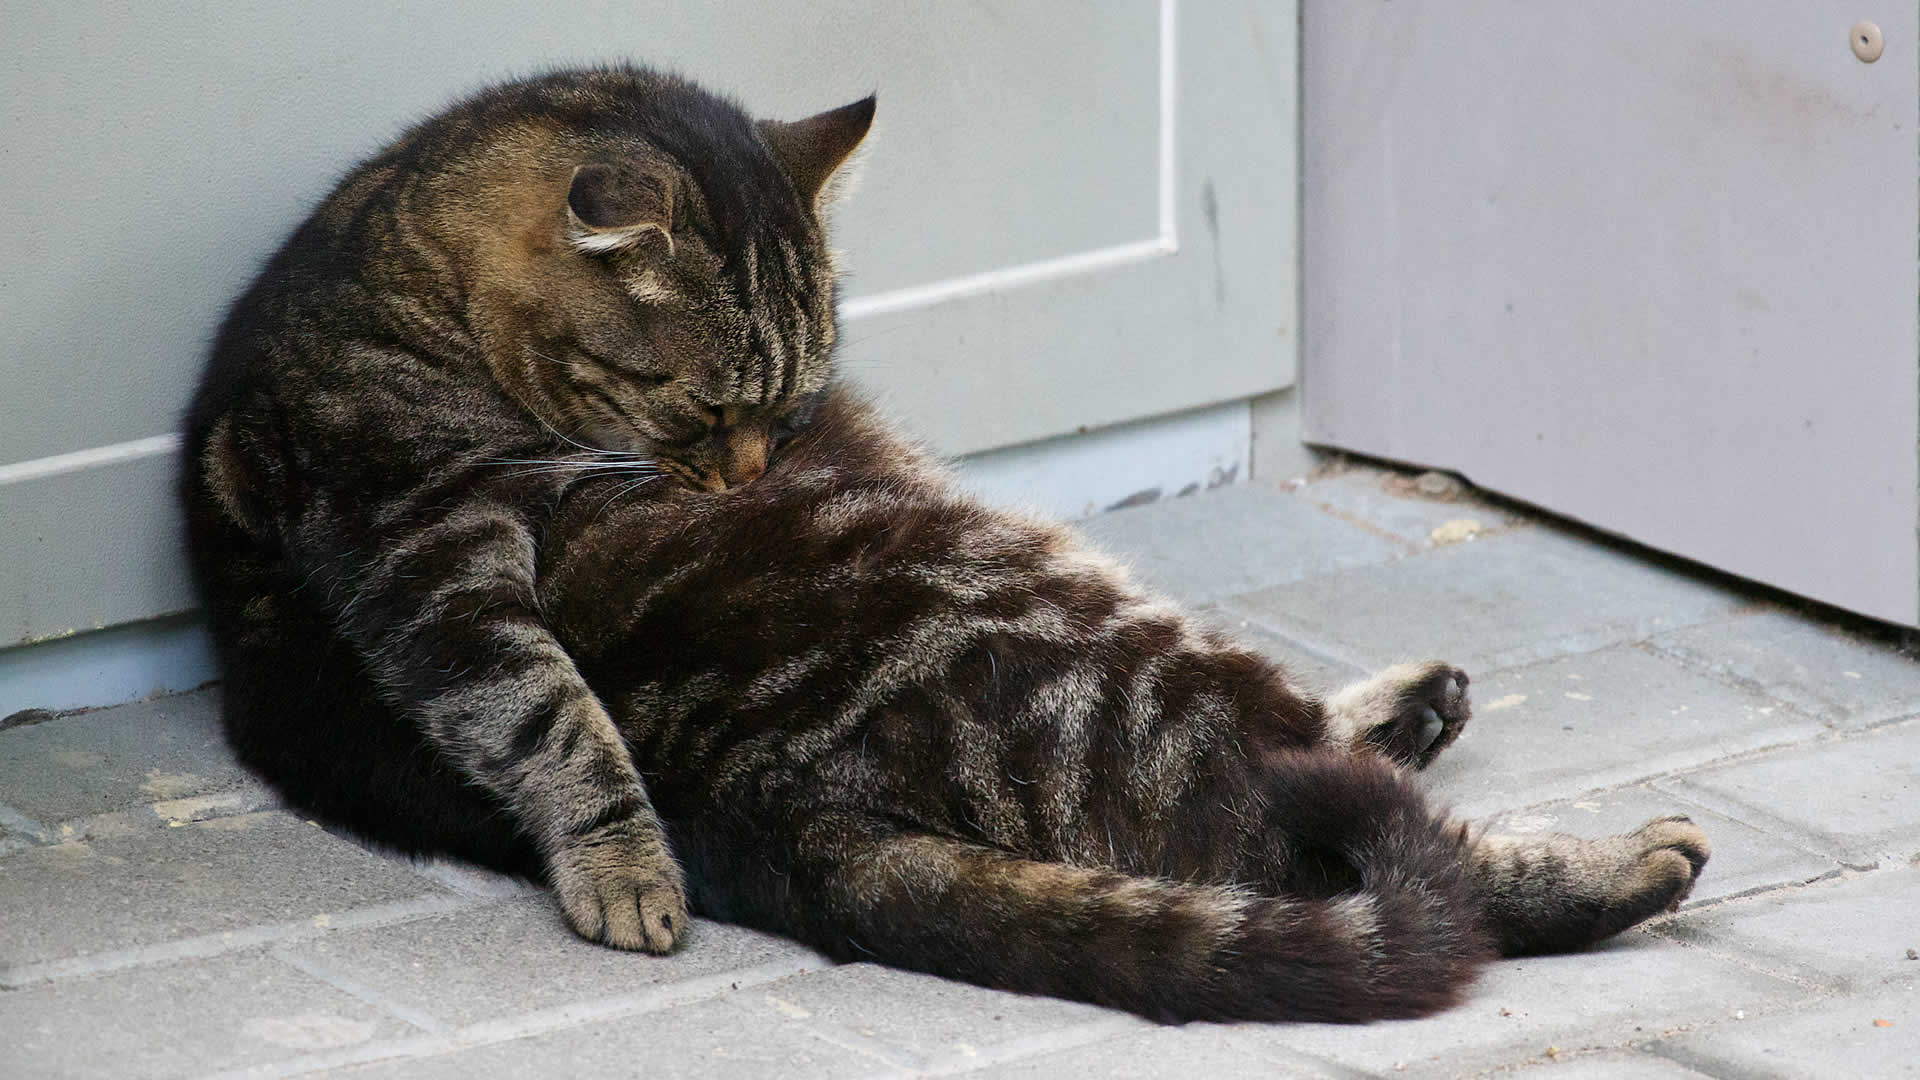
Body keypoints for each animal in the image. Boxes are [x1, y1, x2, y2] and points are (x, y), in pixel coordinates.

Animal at [183, 67, 1712, 1014]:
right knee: (1338, 838)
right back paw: (1605, 859)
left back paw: (1411, 714)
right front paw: (618, 858)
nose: (756, 471)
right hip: (1070, 625)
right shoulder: (417, 542)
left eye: (796, 399)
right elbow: (541, 711)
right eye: (710, 404)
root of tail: (786, 813)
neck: (386, 264)